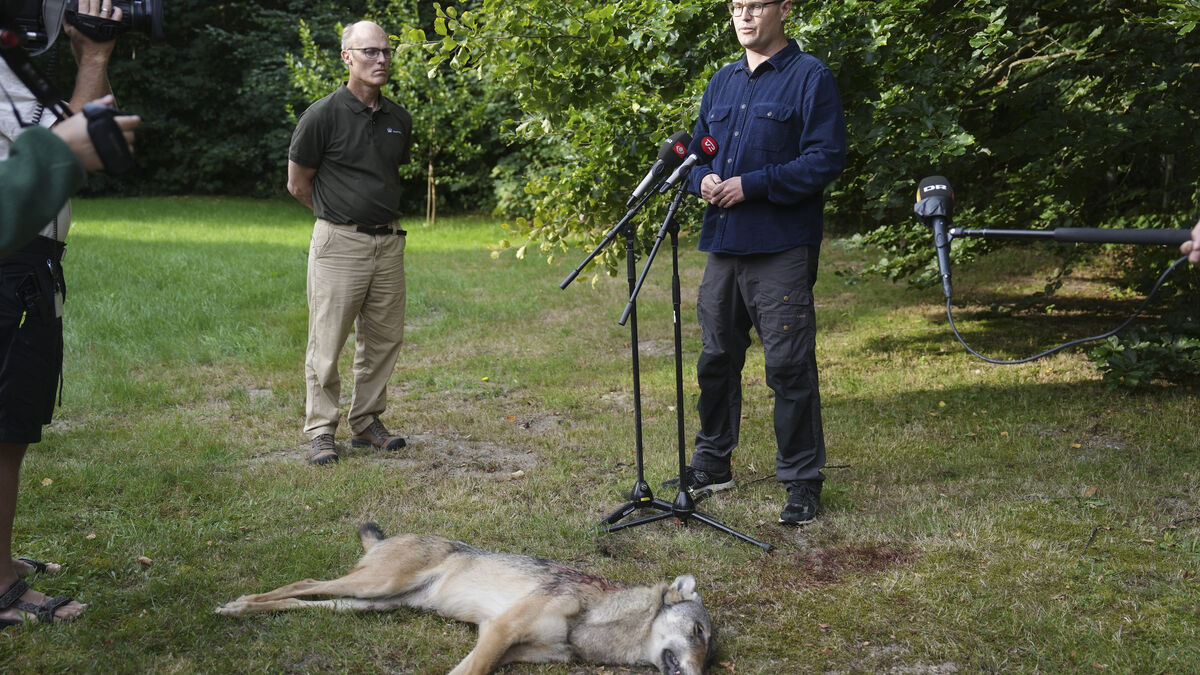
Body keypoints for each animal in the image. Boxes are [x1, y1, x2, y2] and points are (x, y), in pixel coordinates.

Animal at [216, 522, 715, 675]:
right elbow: (469, 672)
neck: (595, 621)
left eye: (709, 651)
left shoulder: (506, 650)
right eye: (698, 632)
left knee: (300, 603)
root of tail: (387, 537)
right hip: (372, 588)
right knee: (299, 584)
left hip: (367, 605)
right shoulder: (497, 631)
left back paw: (243, 610)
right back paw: (237, 605)